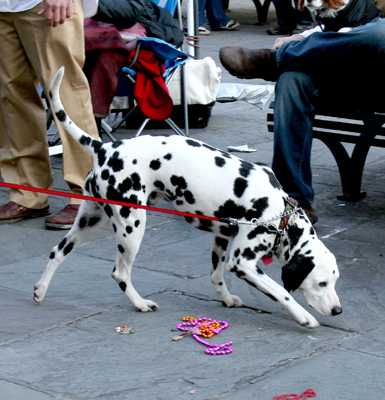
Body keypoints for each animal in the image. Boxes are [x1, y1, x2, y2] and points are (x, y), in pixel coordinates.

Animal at [33, 69, 340, 328]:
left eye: (335, 281)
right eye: (321, 283)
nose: (338, 310)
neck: (281, 214)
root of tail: (105, 147)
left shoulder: (220, 238)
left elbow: (216, 276)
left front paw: (226, 299)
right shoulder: (242, 262)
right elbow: (281, 292)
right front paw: (303, 317)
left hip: (89, 219)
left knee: (57, 252)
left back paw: (40, 291)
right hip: (132, 228)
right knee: (120, 273)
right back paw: (140, 303)